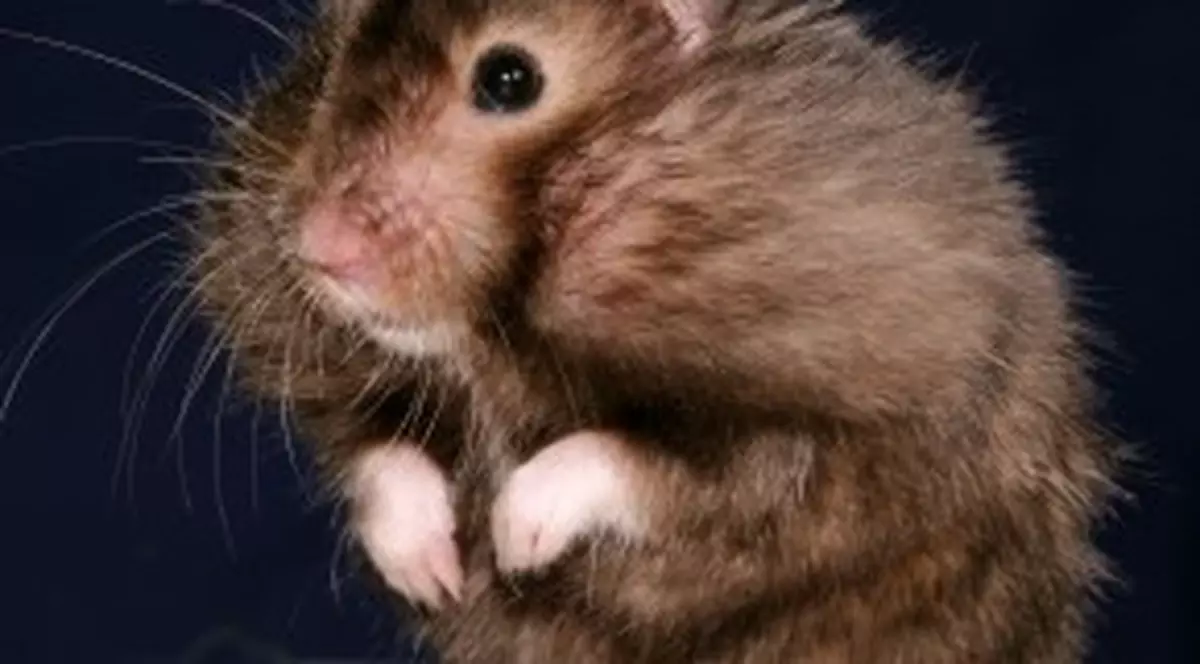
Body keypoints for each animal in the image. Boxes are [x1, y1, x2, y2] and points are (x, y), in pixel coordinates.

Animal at [188, 0, 1123, 661]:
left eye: (508, 79)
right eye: (334, 50)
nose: (313, 248)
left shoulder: (858, 430)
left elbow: (657, 464)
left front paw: (516, 542)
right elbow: (370, 444)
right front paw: (433, 574)